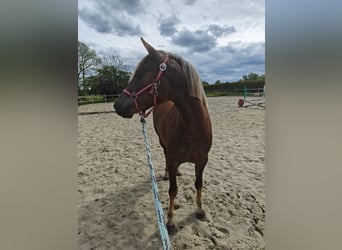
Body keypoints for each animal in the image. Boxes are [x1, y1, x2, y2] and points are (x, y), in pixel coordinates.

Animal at [114, 37, 211, 232]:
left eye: (142, 73)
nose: (117, 105)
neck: (193, 128)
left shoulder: (202, 160)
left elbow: (198, 184)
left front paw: (200, 209)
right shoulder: (173, 159)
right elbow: (173, 190)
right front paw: (170, 221)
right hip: (162, 143)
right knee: (165, 158)